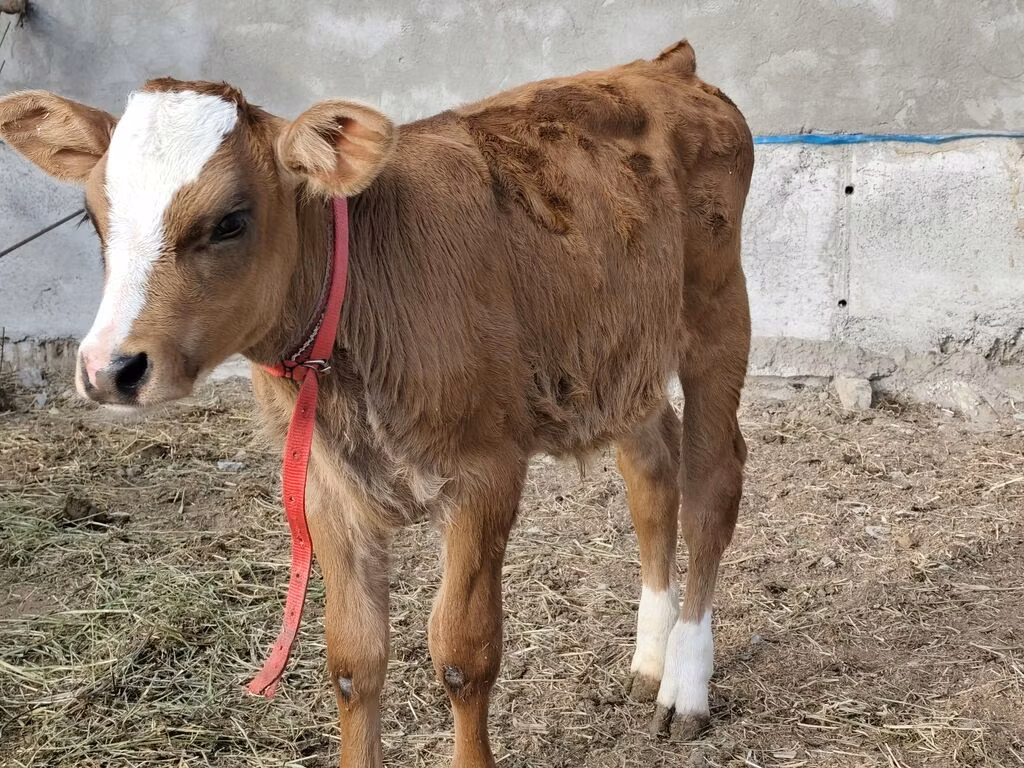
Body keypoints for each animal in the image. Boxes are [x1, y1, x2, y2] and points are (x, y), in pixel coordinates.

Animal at [0, 39, 753, 767]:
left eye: (231, 221)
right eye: (95, 218)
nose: (109, 368)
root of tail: (665, 66)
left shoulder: (486, 468)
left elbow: (463, 654)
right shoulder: (324, 483)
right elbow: (353, 658)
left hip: (717, 315)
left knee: (711, 484)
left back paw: (685, 683)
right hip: (622, 354)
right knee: (651, 476)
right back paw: (650, 659)